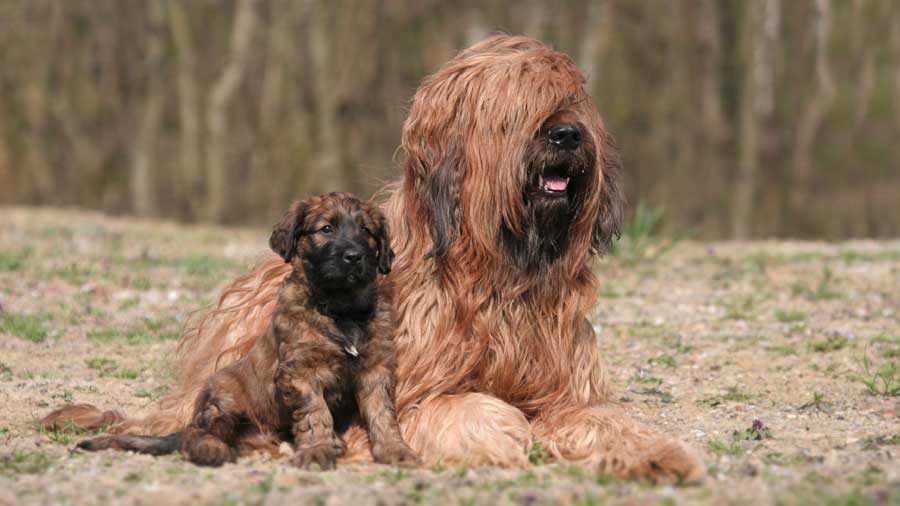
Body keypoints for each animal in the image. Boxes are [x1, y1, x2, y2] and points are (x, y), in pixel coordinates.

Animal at [42, 36, 704, 482]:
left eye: (572, 100)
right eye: (518, 107)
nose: (567, 135)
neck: (501, 275)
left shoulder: (567, 389)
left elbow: (598, 418)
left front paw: (657, 453)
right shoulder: (402, 392)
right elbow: (464, 408)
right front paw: (502, 435)